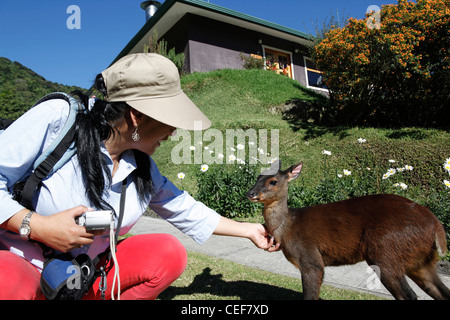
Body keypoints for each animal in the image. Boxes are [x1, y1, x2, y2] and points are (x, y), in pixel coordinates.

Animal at [248, 160, 448, 300]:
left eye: (273, 181)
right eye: (257, 178)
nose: (250, 193)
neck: (288, 226)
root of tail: (435, 223)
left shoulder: (310, 258)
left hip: (386, 251)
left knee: (408, 295)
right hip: (420, 260)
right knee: (441, 291)